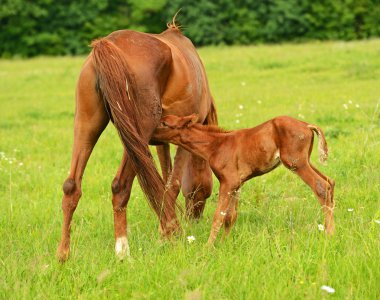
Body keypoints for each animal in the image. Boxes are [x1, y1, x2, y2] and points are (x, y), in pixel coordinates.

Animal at [56, 20, 217, 260]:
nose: (194, 219)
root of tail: (108, 44)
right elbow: (173, 184)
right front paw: (167, 234)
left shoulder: (162, 141)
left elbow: (164, 183)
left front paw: (167, 230)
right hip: (136, 134)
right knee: (120, 186)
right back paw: (123, 252)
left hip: (87, 125)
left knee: (71, 186)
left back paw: (63, 255)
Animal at [152, 113, 336, 245]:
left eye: (165, 123)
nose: (150, 135)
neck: (215, 145)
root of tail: (307, 125)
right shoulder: (237, 184)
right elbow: (230, 216)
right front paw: (224, 244)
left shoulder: (228, 181)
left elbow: (219, 216)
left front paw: (208, 247)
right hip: (305, 161)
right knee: (330, 181)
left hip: (295, 163)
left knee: (321, 186)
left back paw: (329, 233)